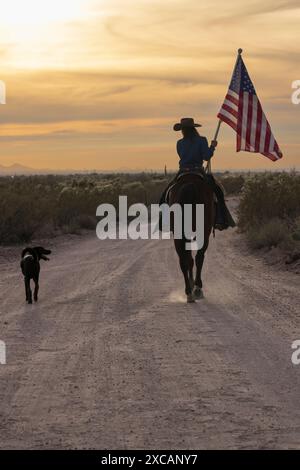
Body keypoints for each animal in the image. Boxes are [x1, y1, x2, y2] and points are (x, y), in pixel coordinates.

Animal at [169, 174, 216, 302]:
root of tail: (189, 186)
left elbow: (189, 259)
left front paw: (191, 283)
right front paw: (195, 285)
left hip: (179, 235)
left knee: (183, 260)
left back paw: (189, 292)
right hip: (203, 233)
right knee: (199, 257)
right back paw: (197, 289)